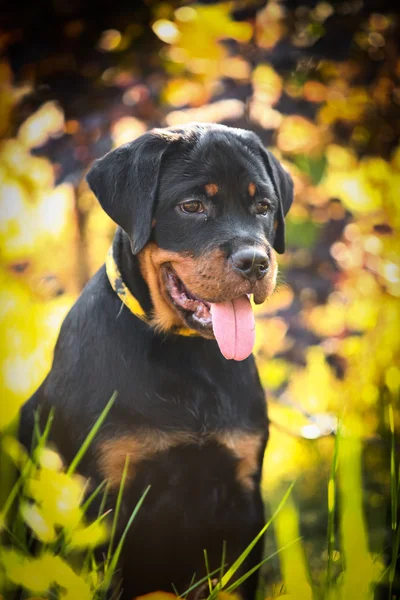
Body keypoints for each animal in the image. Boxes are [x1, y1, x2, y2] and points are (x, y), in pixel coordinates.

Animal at [19, 123, 294, 600]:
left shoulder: (242, 495)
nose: (256, 262)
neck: (185, 354)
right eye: (192, 206)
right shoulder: (100, 502)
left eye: (263, 206)